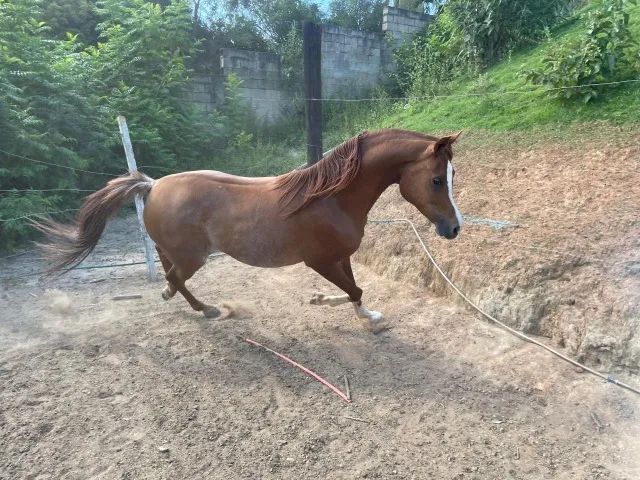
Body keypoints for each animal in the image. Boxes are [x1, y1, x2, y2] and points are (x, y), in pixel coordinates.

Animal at [36, 129, 463, 330]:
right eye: (437, 180)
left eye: (451, 176)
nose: (454, 228)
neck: (332, 199)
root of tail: (153, 185)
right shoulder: (320, 261)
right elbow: (353, 289)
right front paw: (365, 318)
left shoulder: (341, 257)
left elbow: (354, 290)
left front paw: (337, 306)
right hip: (193, 257)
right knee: (176, 278)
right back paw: (206, 308)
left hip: (177, 251)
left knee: (170, 272)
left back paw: (187, 301)